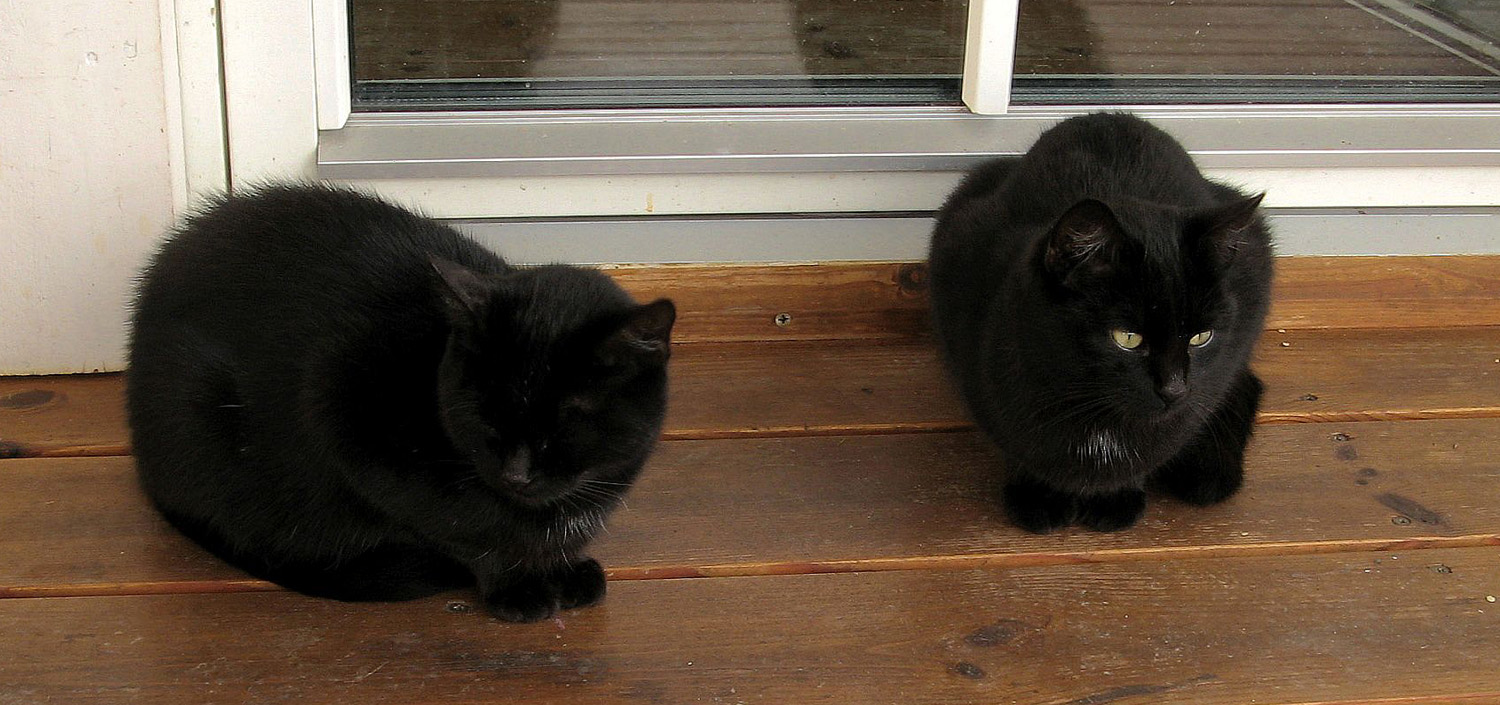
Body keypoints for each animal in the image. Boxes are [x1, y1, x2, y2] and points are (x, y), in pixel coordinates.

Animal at [127, 183, 675, 622]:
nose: (516, 473)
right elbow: (467, 529)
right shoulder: (342, 409)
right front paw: (517, 583)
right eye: (484, 408)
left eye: (568, 419)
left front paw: (561, 566)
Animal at [928, 112, 1273, 533]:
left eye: (1200, 337)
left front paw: (1115, 498)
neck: (1098, 420)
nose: (1174, 389)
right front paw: (1036, 497)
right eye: (1127, 337)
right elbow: (1017, 447)